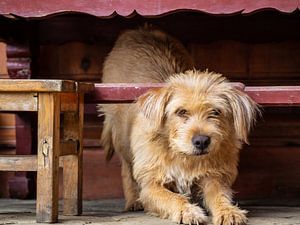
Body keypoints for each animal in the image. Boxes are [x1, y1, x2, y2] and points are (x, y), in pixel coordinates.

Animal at [99, 28, 258, 225]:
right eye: (181, 112)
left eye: (215, 112)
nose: (202, 141)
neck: (183, 156)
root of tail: (140, 29)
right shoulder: (151, 184)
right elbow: (171, 197)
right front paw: (186, 211)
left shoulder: (214, 176)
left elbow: (218, 194)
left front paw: (228, 211)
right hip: (122, 137)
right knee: (126, 169)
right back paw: (133, 201)